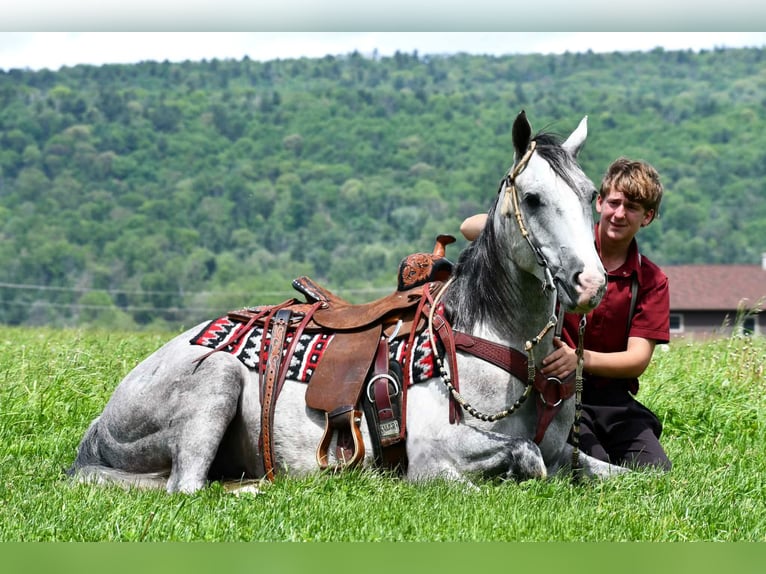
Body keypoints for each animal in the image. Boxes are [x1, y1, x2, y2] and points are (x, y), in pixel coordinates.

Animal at [68, 110, 626, 494]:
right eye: (532, 198)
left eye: (591, 194)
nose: (590, 282)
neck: (492, 344)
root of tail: (99, 429)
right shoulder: (435, 454)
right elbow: (525, 458)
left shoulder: (572, 454)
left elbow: (627, 473)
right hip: (217, 380)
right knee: (185, 487)